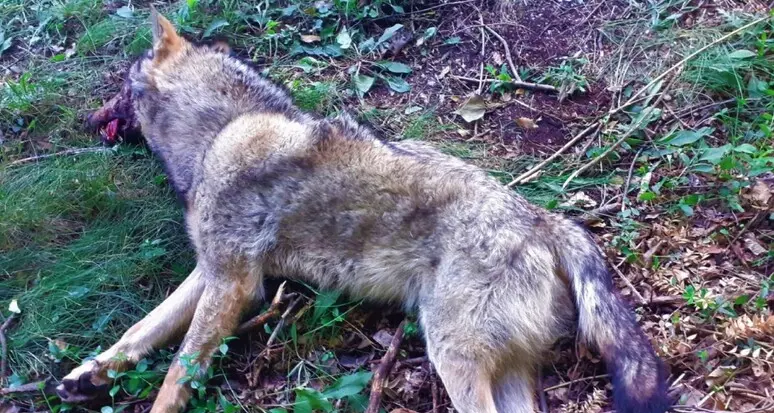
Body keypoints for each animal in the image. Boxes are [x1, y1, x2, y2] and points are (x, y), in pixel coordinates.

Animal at [57, 9, 670, 413]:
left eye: (119, 87)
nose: (84, 119)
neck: (220, 132)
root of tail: (543, 219)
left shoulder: (235, 283)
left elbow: (175, 374)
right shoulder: (212, 272)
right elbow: (141, 330)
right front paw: (89, 374)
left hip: (453, 358)